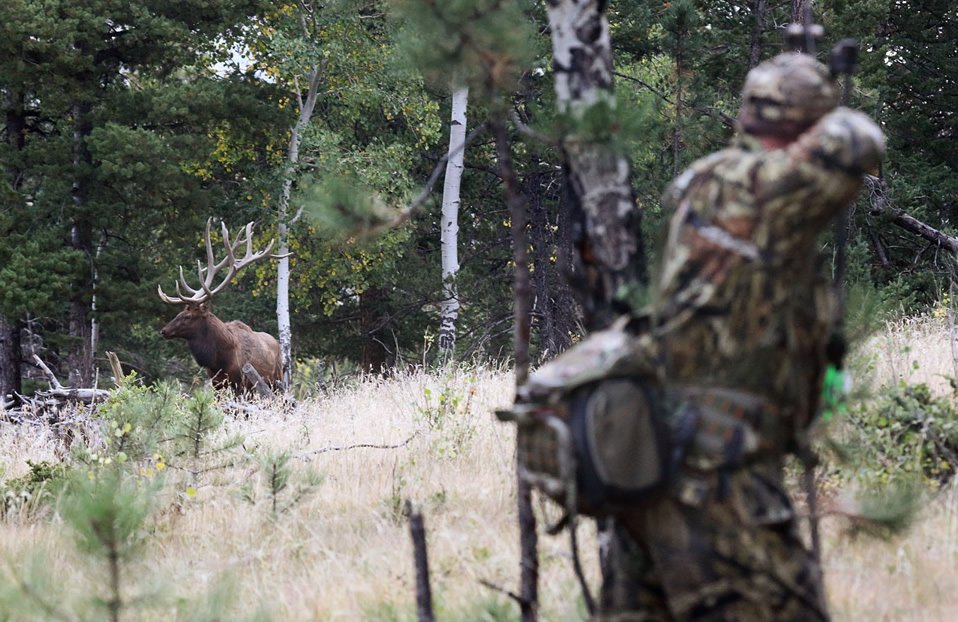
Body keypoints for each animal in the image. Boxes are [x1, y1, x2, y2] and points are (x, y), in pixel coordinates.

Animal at [158, 219, 283, 394]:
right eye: (180, 312)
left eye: (188, 316)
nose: (164, 330)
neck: (220, 360)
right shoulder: (216, 383)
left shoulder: (242, 384)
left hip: (277, 380)